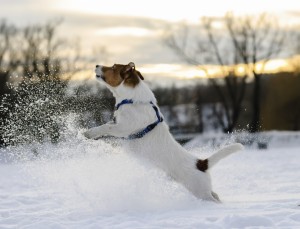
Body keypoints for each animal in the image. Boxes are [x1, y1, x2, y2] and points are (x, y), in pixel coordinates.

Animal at [83, 61, 243, 201]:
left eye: (113, 67)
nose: (96, 65)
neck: (132, 100)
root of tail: (201, 163)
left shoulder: (123, 128)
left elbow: (105, 127)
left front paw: (88, 133)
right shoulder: (119, 127)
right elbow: (107, 129)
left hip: (200, 191)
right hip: (204, 189)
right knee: (215, 195)